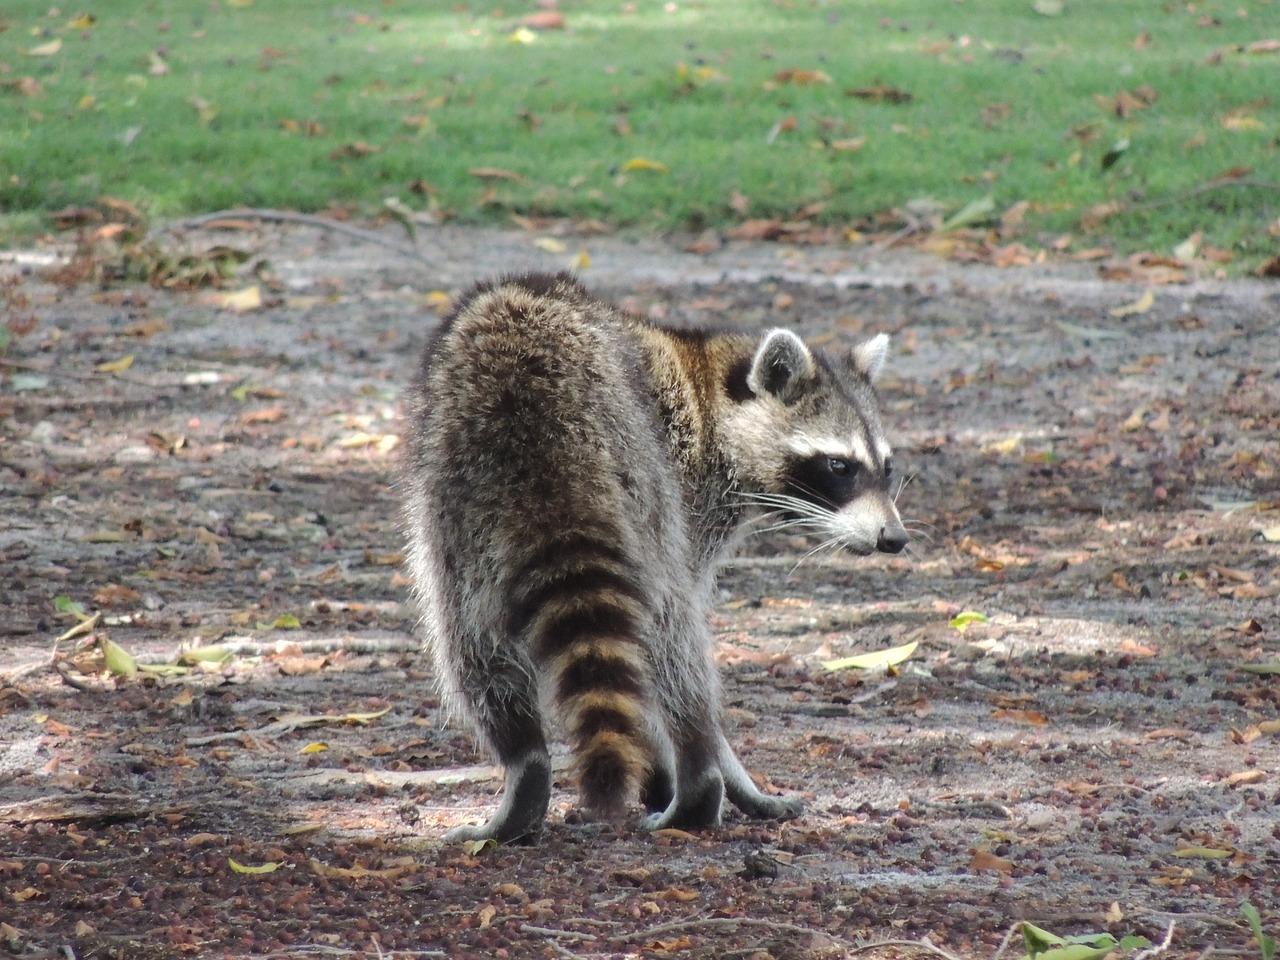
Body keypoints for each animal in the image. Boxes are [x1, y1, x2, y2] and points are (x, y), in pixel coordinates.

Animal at [404, 271, 906, 839]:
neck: (712, 393)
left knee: (469, 642)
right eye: (840, 466)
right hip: (640, 484)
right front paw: (717, 772)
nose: (893, 538)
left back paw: (524, 763)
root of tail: (528, 392)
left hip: (452, 502)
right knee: (673, 635)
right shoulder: (687, 486)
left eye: (886, 467)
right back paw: (698, 775)